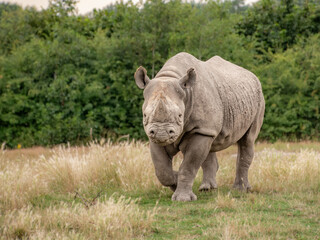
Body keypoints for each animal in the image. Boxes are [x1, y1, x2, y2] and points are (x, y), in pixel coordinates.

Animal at [134, 52, 264, 201]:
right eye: (145, 115)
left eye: (180, 115)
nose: (162, 134)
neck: (171, 76)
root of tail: (253, 76)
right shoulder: (153, 134)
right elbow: (162, 169)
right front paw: (175, 181)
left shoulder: (201, 130)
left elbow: (189, 165)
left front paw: (182, 198)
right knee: (211, 145)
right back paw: (207, 188)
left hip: (259, 98)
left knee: (247, 140)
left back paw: (240, 190)